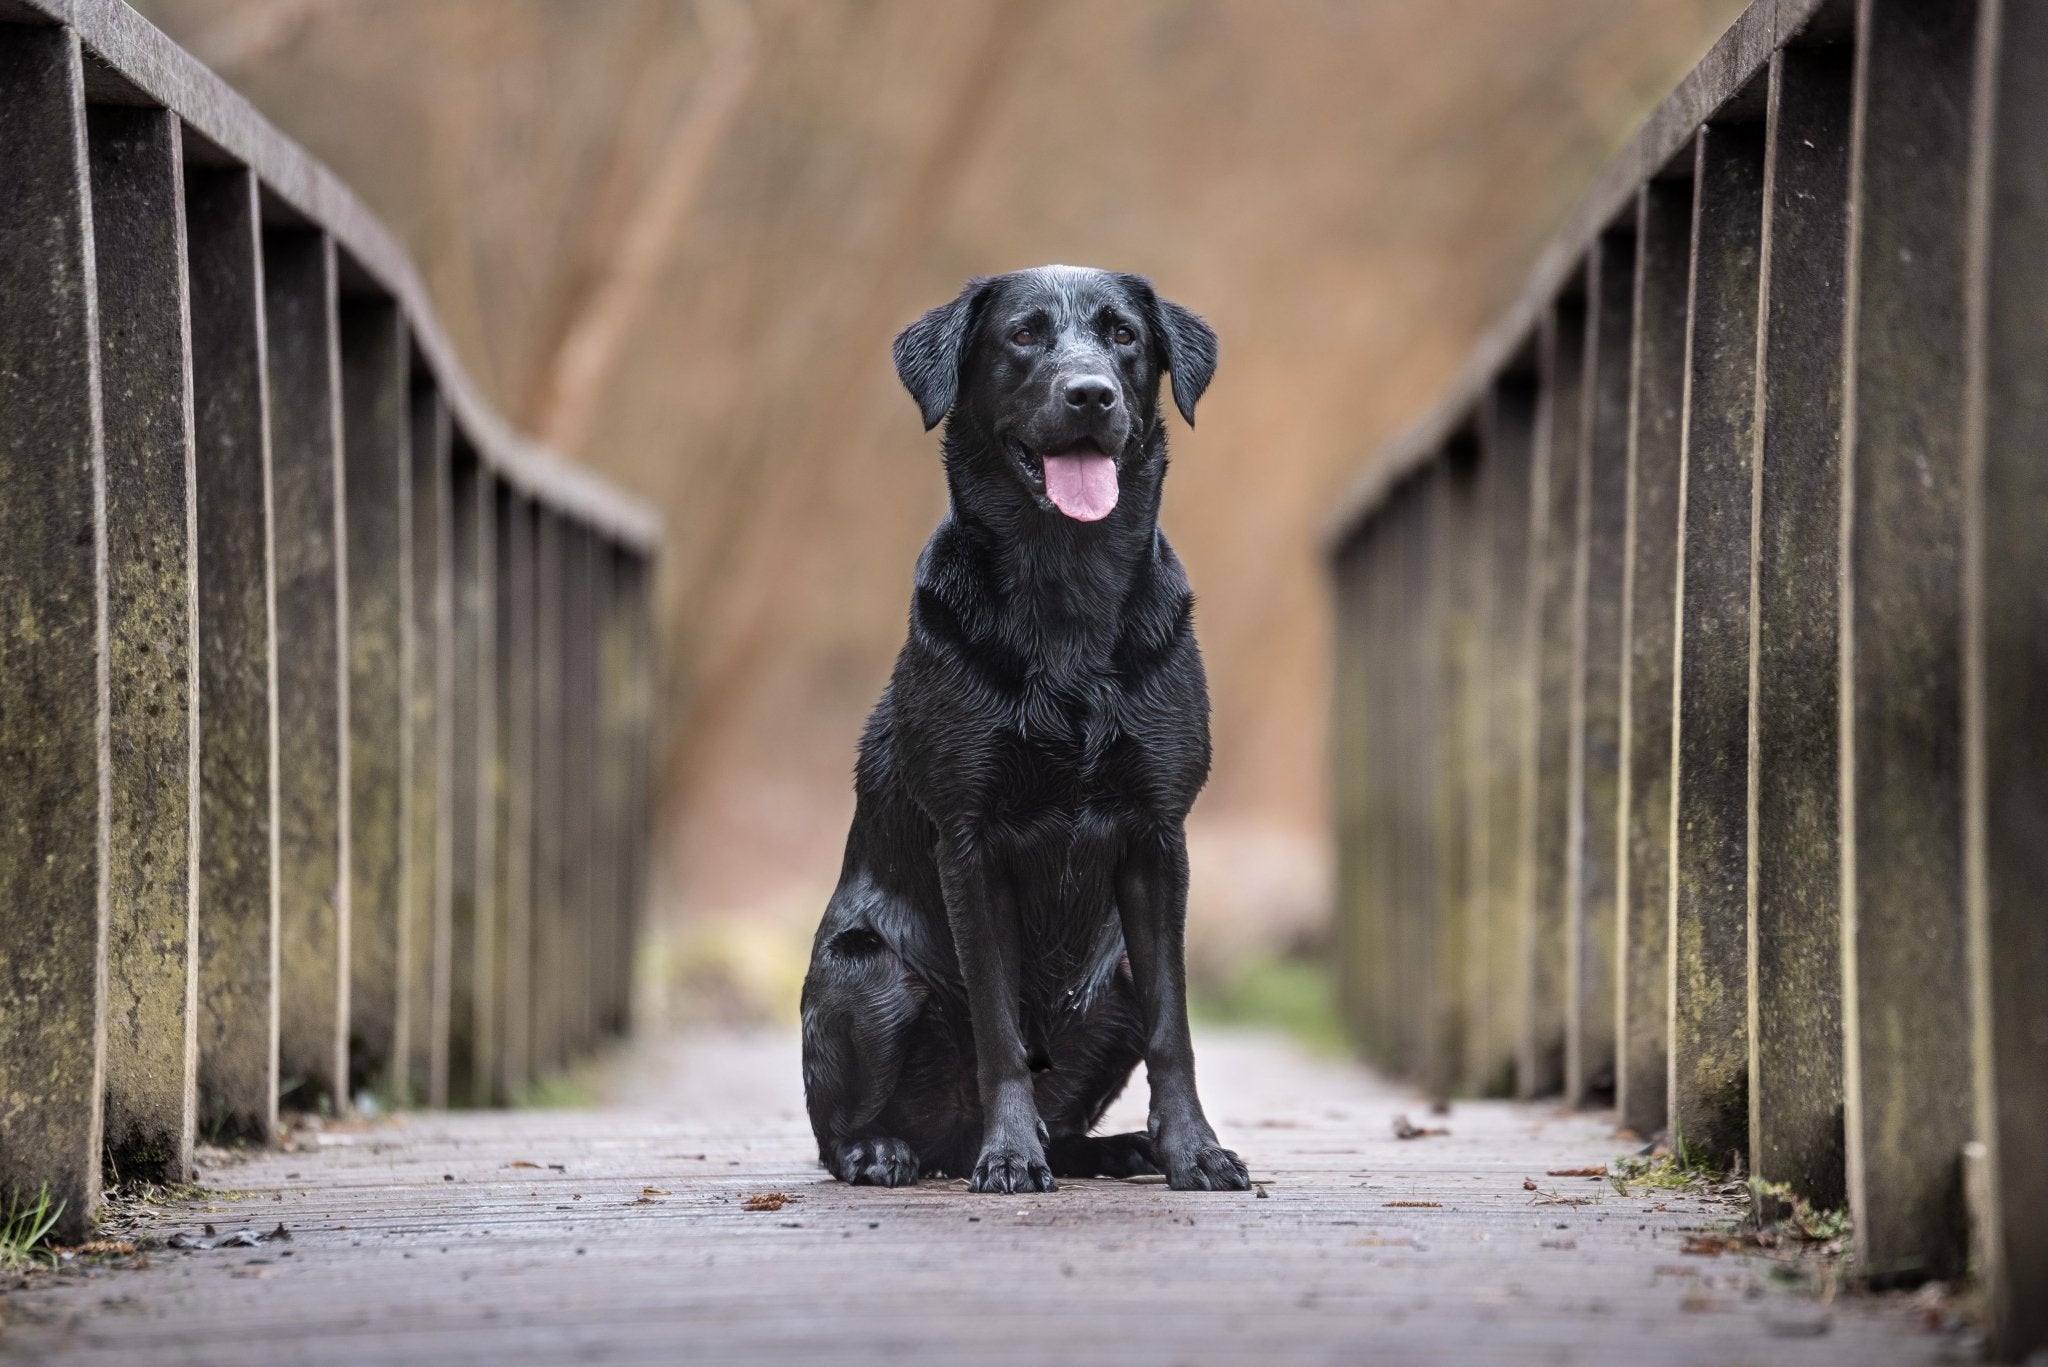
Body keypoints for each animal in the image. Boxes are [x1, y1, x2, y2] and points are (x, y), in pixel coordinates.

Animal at [798, 262, 1245, 1188]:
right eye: (1025, 335)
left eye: (1123, 336)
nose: (1090, 394)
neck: (1067, 590)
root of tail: (944, 1144)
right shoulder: (971, 841)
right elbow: (1000, 1028)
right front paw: (1010, 1156)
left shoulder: (1159, 836)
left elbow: (1174, 1028)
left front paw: (1193, 1149)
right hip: (867, 969)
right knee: (837, 1133)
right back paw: (889, 1150)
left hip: (1111, 975)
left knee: (1072, 1110)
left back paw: (1117, 1147)